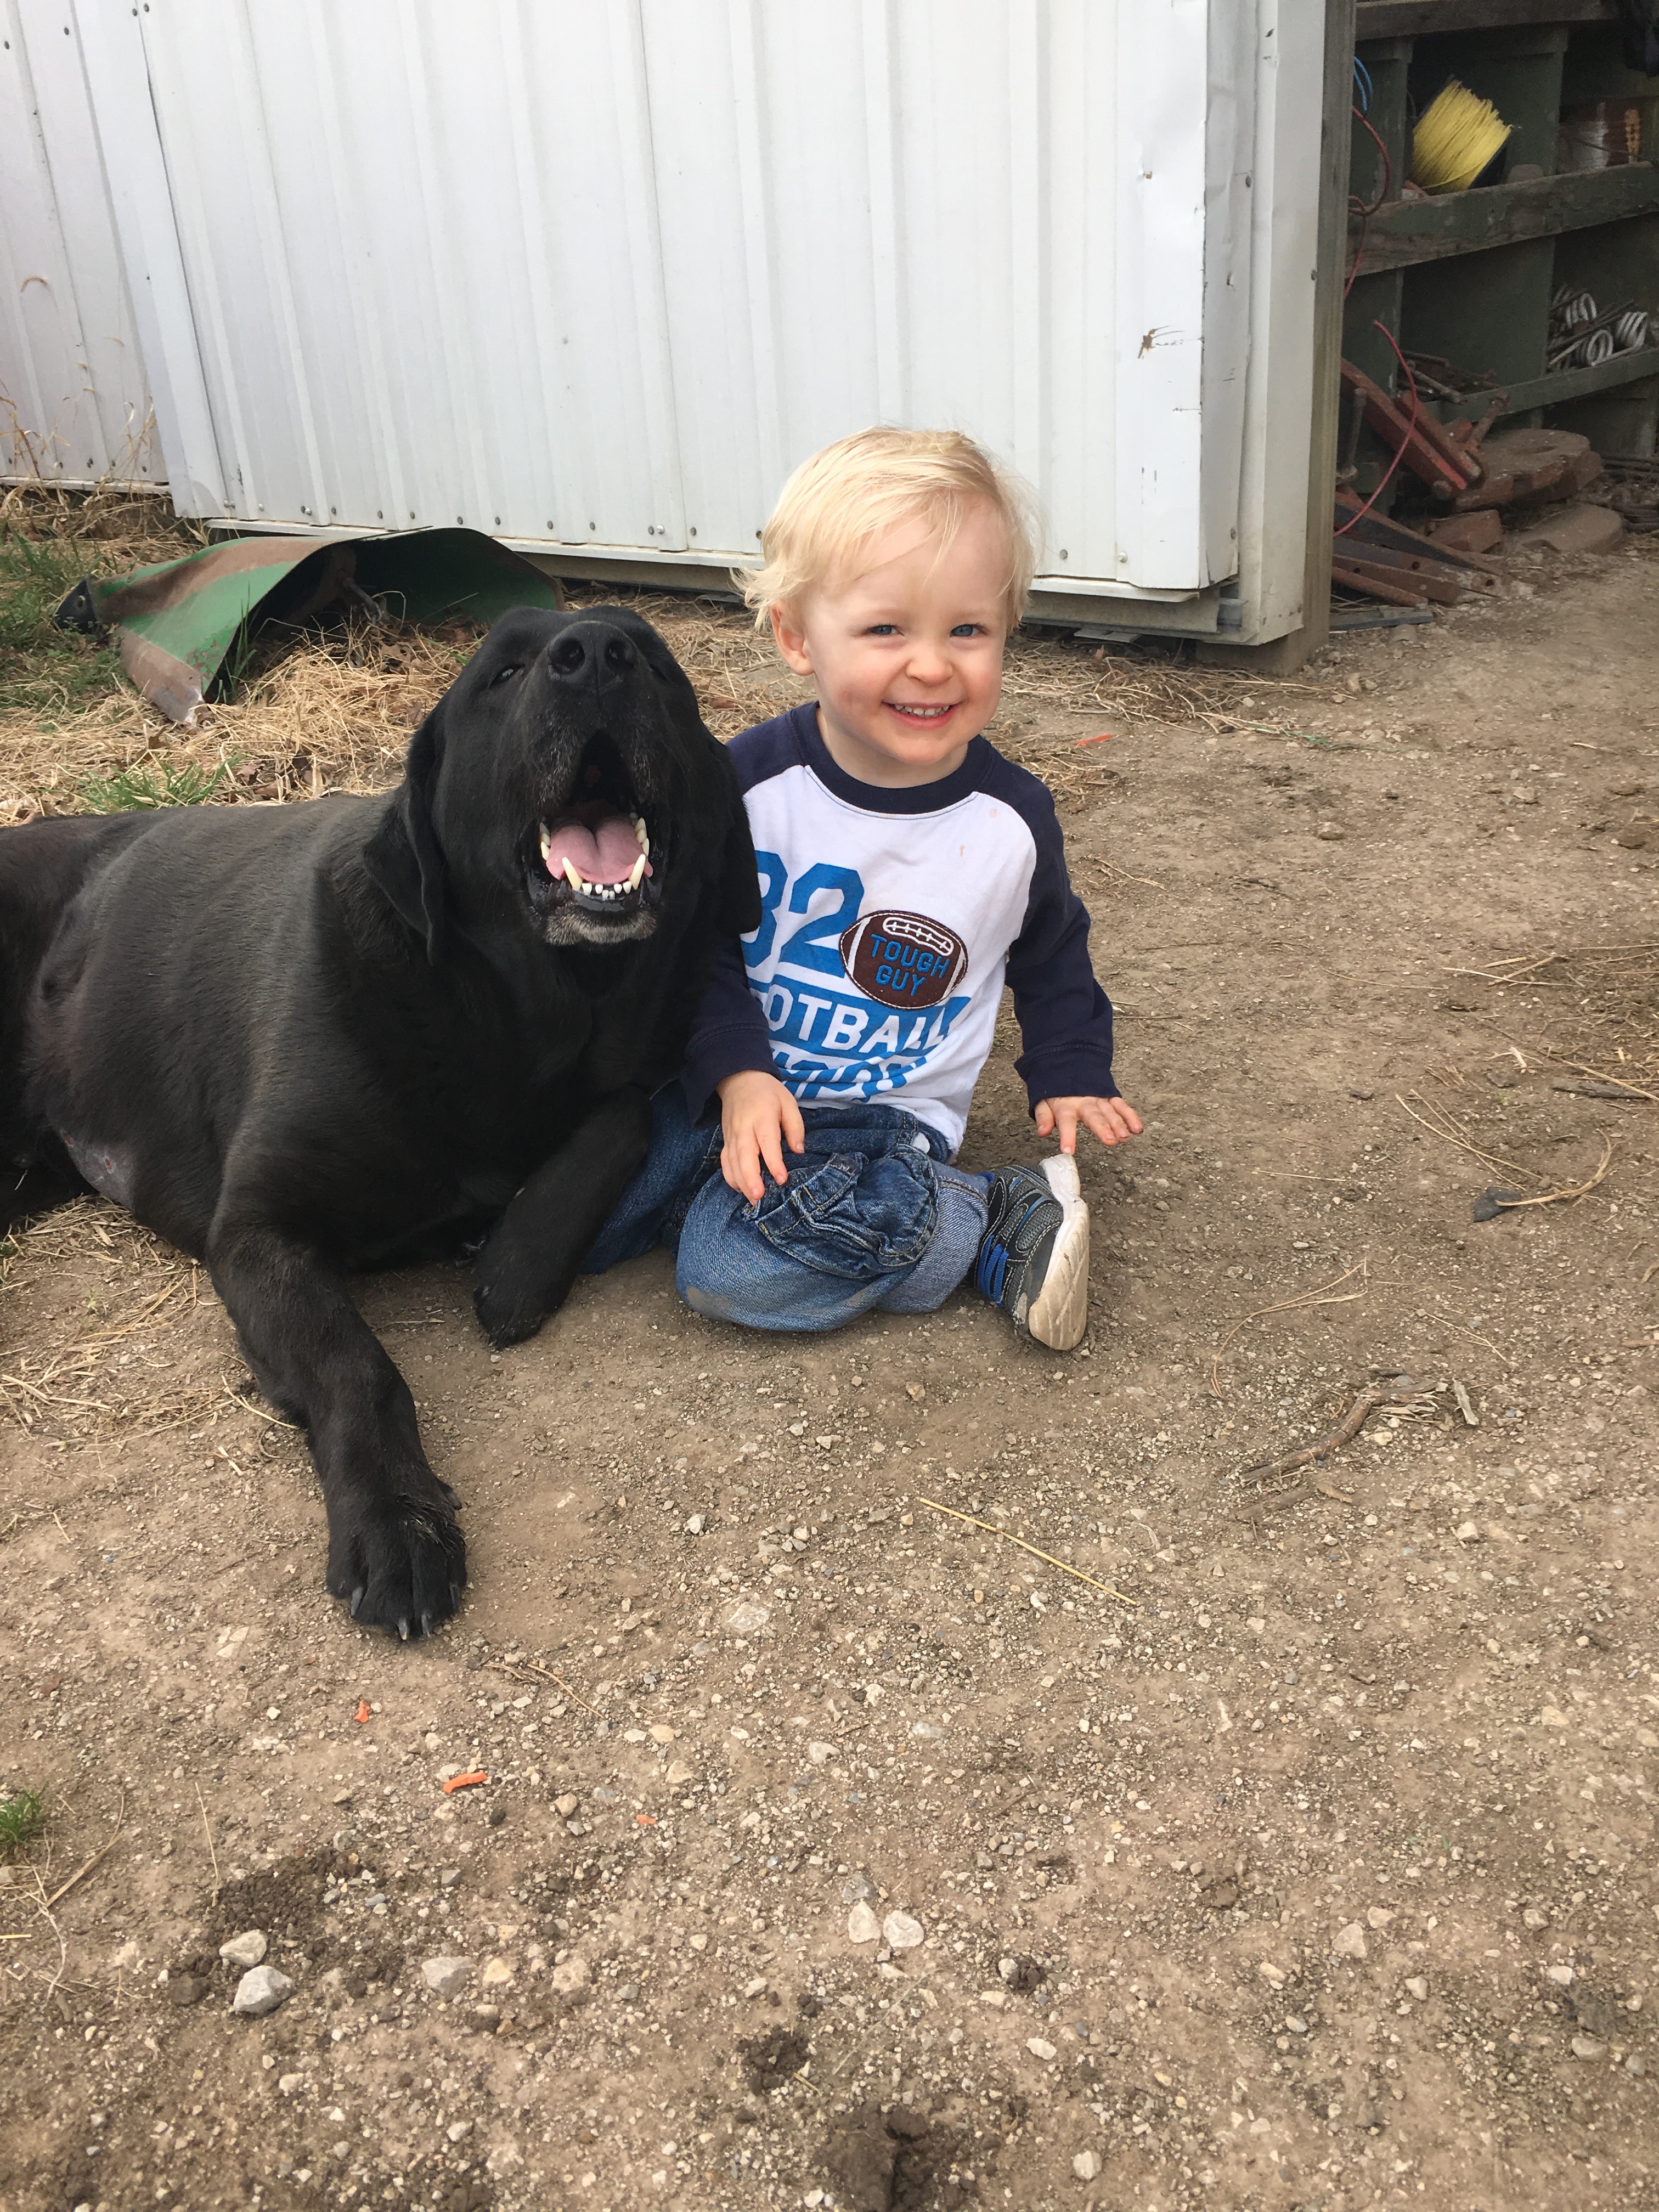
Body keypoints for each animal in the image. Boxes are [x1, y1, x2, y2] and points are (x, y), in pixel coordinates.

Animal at [0, 607, 759, 1636]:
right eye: (504, 670)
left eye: (656, 663)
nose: (599, 656)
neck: (508, 1017)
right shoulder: (258, 1229)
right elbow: (355, 1366)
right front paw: (398, 1523)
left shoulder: (631, 1070)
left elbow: (624, 1115)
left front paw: (519, 1259)